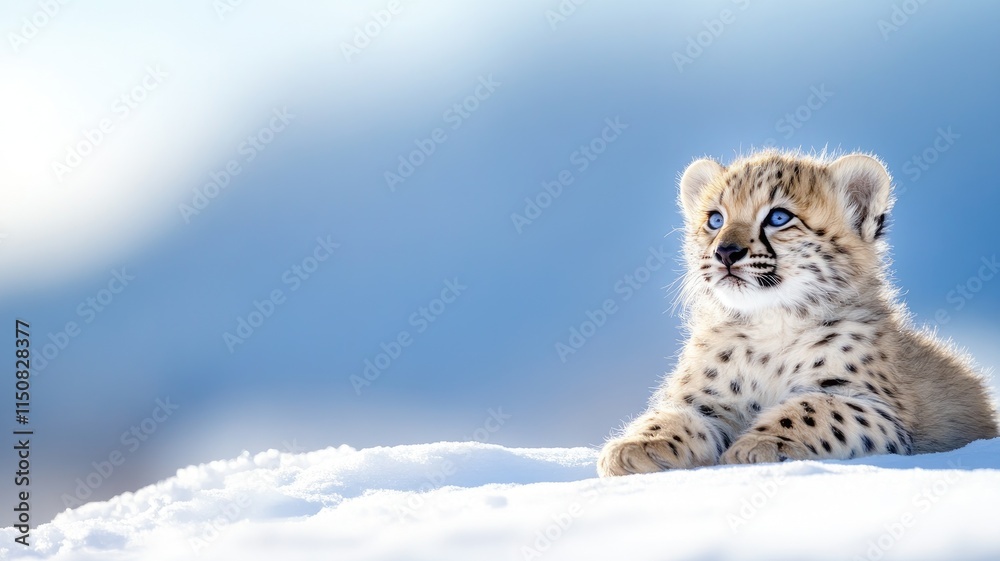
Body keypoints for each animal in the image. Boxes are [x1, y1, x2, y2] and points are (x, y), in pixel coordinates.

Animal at [597, 150, 998, 476]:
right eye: (715, 220)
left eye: (778, 217)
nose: (726, 252)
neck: (769, 324)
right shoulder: (703, 399)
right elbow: (670, 415)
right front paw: (636, 446)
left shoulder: (876, 407)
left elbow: (813, 410)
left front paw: (757, 445)